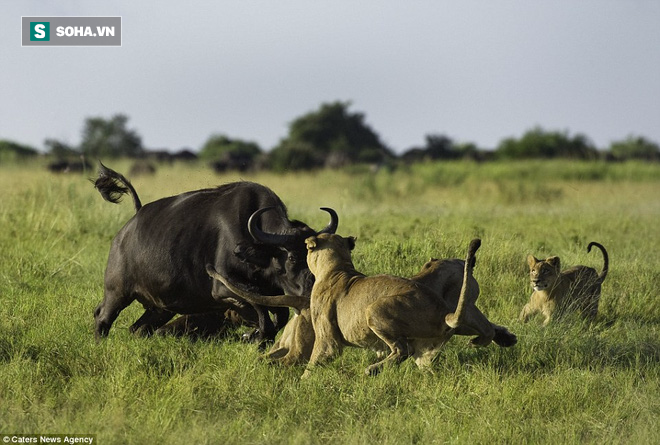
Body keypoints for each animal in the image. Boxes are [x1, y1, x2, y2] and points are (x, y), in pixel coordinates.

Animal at [92, 163, 338, 340]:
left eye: (315, 258)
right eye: (293, 258)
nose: (311, 287)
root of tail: (130, 224)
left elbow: (278, 318)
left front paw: (255, 336)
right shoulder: (224, 288)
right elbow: (261, 315)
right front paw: (253, 335)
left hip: (160, 308)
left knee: (138, 329)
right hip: (117, 293)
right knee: (102, 317)